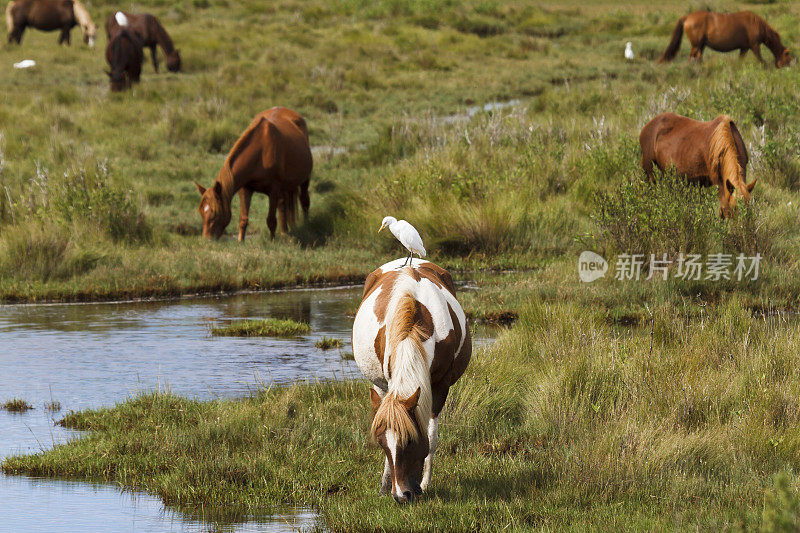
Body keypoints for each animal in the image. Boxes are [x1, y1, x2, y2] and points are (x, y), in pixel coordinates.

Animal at [195, 107, 314, 240]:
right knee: (283, 205)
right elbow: (243, 219)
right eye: (202, 212)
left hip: (304, 180)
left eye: (215, 213)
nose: (207, 239)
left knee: (304, 201)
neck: (260, 154)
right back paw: (284, 231)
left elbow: (271, 220)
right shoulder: (245, 189)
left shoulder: (273, 190)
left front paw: (272, 241)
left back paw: (307, 225)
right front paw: (241, 241)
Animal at [354, 260, 472, 500]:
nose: (402, 495)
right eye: (381, 443)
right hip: (379, 386)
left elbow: (432, 438)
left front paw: (425, 484)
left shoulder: (440, 387)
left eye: (410, 440)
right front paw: (385, 485)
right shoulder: (390, 381)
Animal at [660, 11, 792, 67]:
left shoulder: (744, 48)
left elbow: (740, 60)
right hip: (696, 45)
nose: (788, 67)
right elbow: (760, 59)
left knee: (697, 57)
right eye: (788, 57)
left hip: (701, 45)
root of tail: (687, 17)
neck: (756, 24)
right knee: (692, 57)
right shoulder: (754, 46)